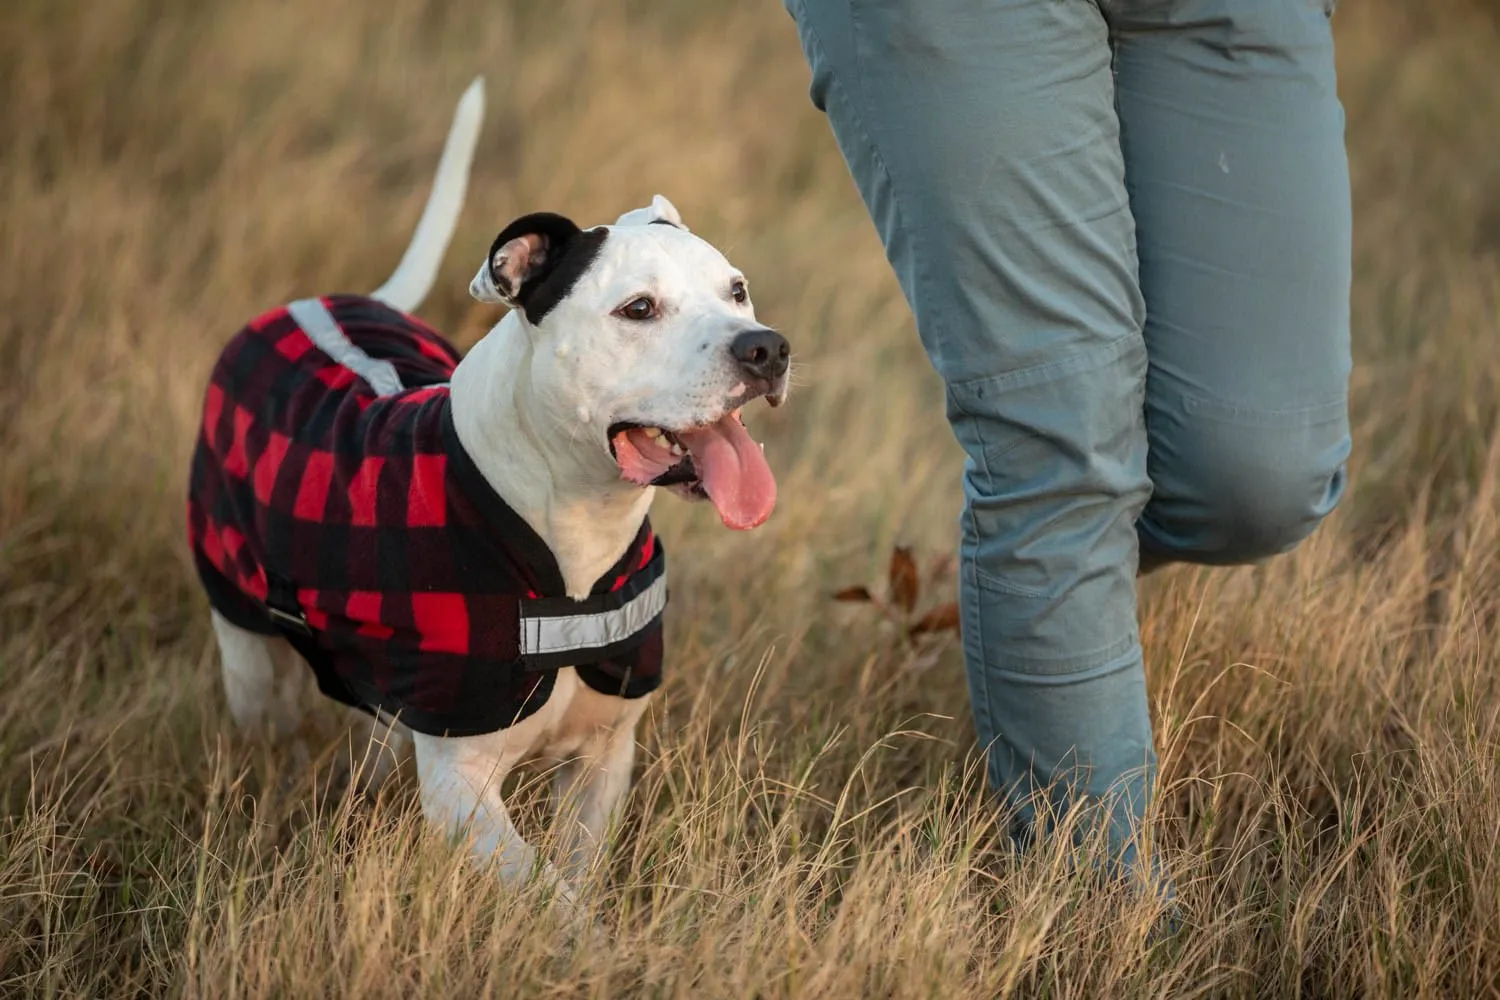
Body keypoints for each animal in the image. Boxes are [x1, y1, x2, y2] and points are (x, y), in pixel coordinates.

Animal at [190, 80, 786, 905]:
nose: (765, 348)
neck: (573, 526)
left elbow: (576, 875)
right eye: (638, 309)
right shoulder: (464, 789)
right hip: (242, 636)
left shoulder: (602, 757)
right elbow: (554, 900)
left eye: (737, 291)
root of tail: (311, 304)